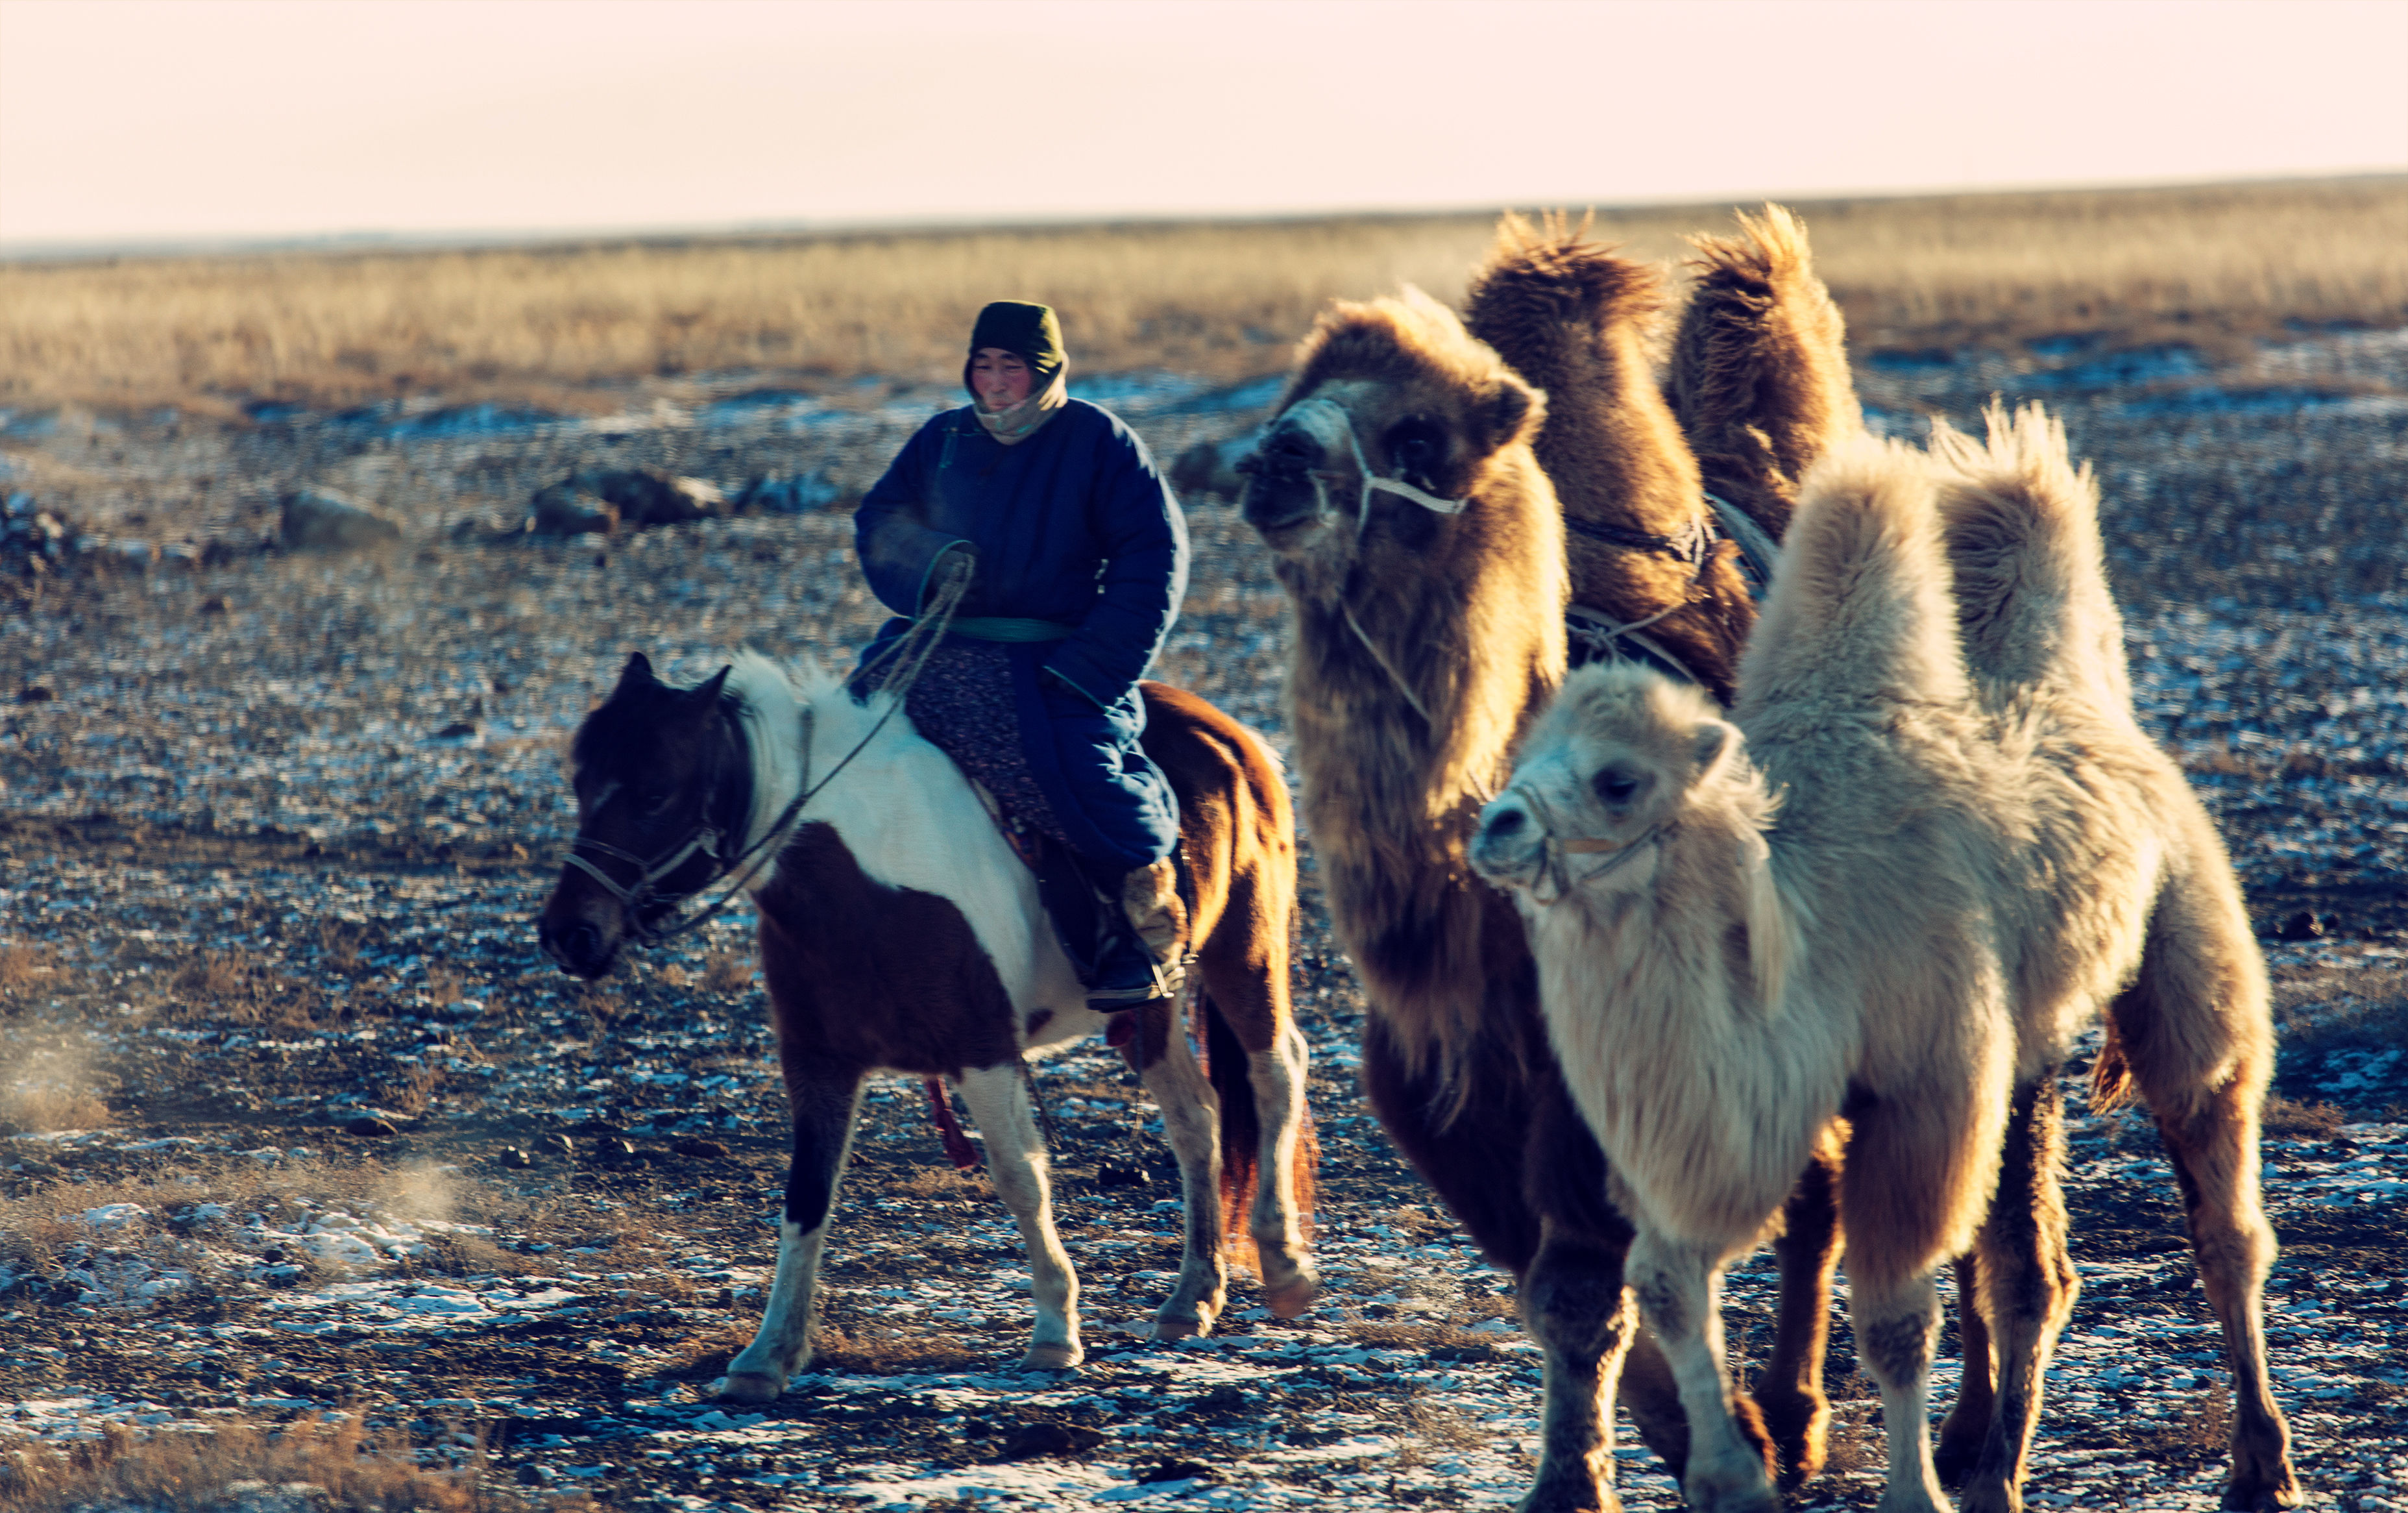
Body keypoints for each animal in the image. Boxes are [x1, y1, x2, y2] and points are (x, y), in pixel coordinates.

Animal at [537, 655, 1319, 1397]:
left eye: (654, 793)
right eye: (581, 784)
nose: (569, 935)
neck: (862, 872)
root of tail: (1230, 733)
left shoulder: (984, 1051)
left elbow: (1020, 1178)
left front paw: (1054, 1331)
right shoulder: (818, 1060)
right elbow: (806, 1199)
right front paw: (766, 1356)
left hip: (1243, 949)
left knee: (1276, 1070)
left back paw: (1284, 1263)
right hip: (1154, 1001)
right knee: (1197, 1118)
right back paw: (1193, 1296)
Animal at [1242, 289, 1810, 1503]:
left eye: (1418, 435)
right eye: (1289, 396)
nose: (1274, 461)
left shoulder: (1592, 1073)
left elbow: (1581, 1287)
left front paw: (1580, 1479)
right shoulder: (1447, 1102)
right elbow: (1548, 1283)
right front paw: (1677, 1438)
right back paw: (1790, 1423)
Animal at [1474, 404, 2302, 1513]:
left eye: (1617, 780)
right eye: (1520, 757)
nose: (1495, 826)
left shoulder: (1924, 1083)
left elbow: (1895, 1313)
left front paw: (1911, 1490)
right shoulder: (1715, 1120)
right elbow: (1666, 1277)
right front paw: (1732, 1473)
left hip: (2186, 951)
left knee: (2217, 1210)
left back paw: (2252, 1463)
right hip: (2030, 1045)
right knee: (2026, 1259)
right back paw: (1989, 1451)